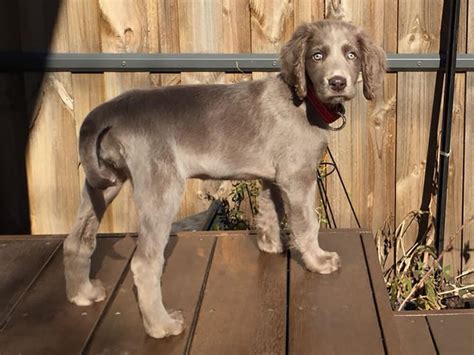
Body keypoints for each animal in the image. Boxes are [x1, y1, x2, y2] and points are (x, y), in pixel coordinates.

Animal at [63, 20, 386, 340]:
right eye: (317, 56)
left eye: (352, 55)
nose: (337, 82)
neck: (304, 101)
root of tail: (109, 110)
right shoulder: (297, 175)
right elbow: (307, 224)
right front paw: (318, 260)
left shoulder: (273, 176)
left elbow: (269, 211)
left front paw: (272, 245)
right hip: (161, 186)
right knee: (144, 263)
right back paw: (162, 326)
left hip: (105, 180)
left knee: (76, 239)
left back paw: (83, 294)